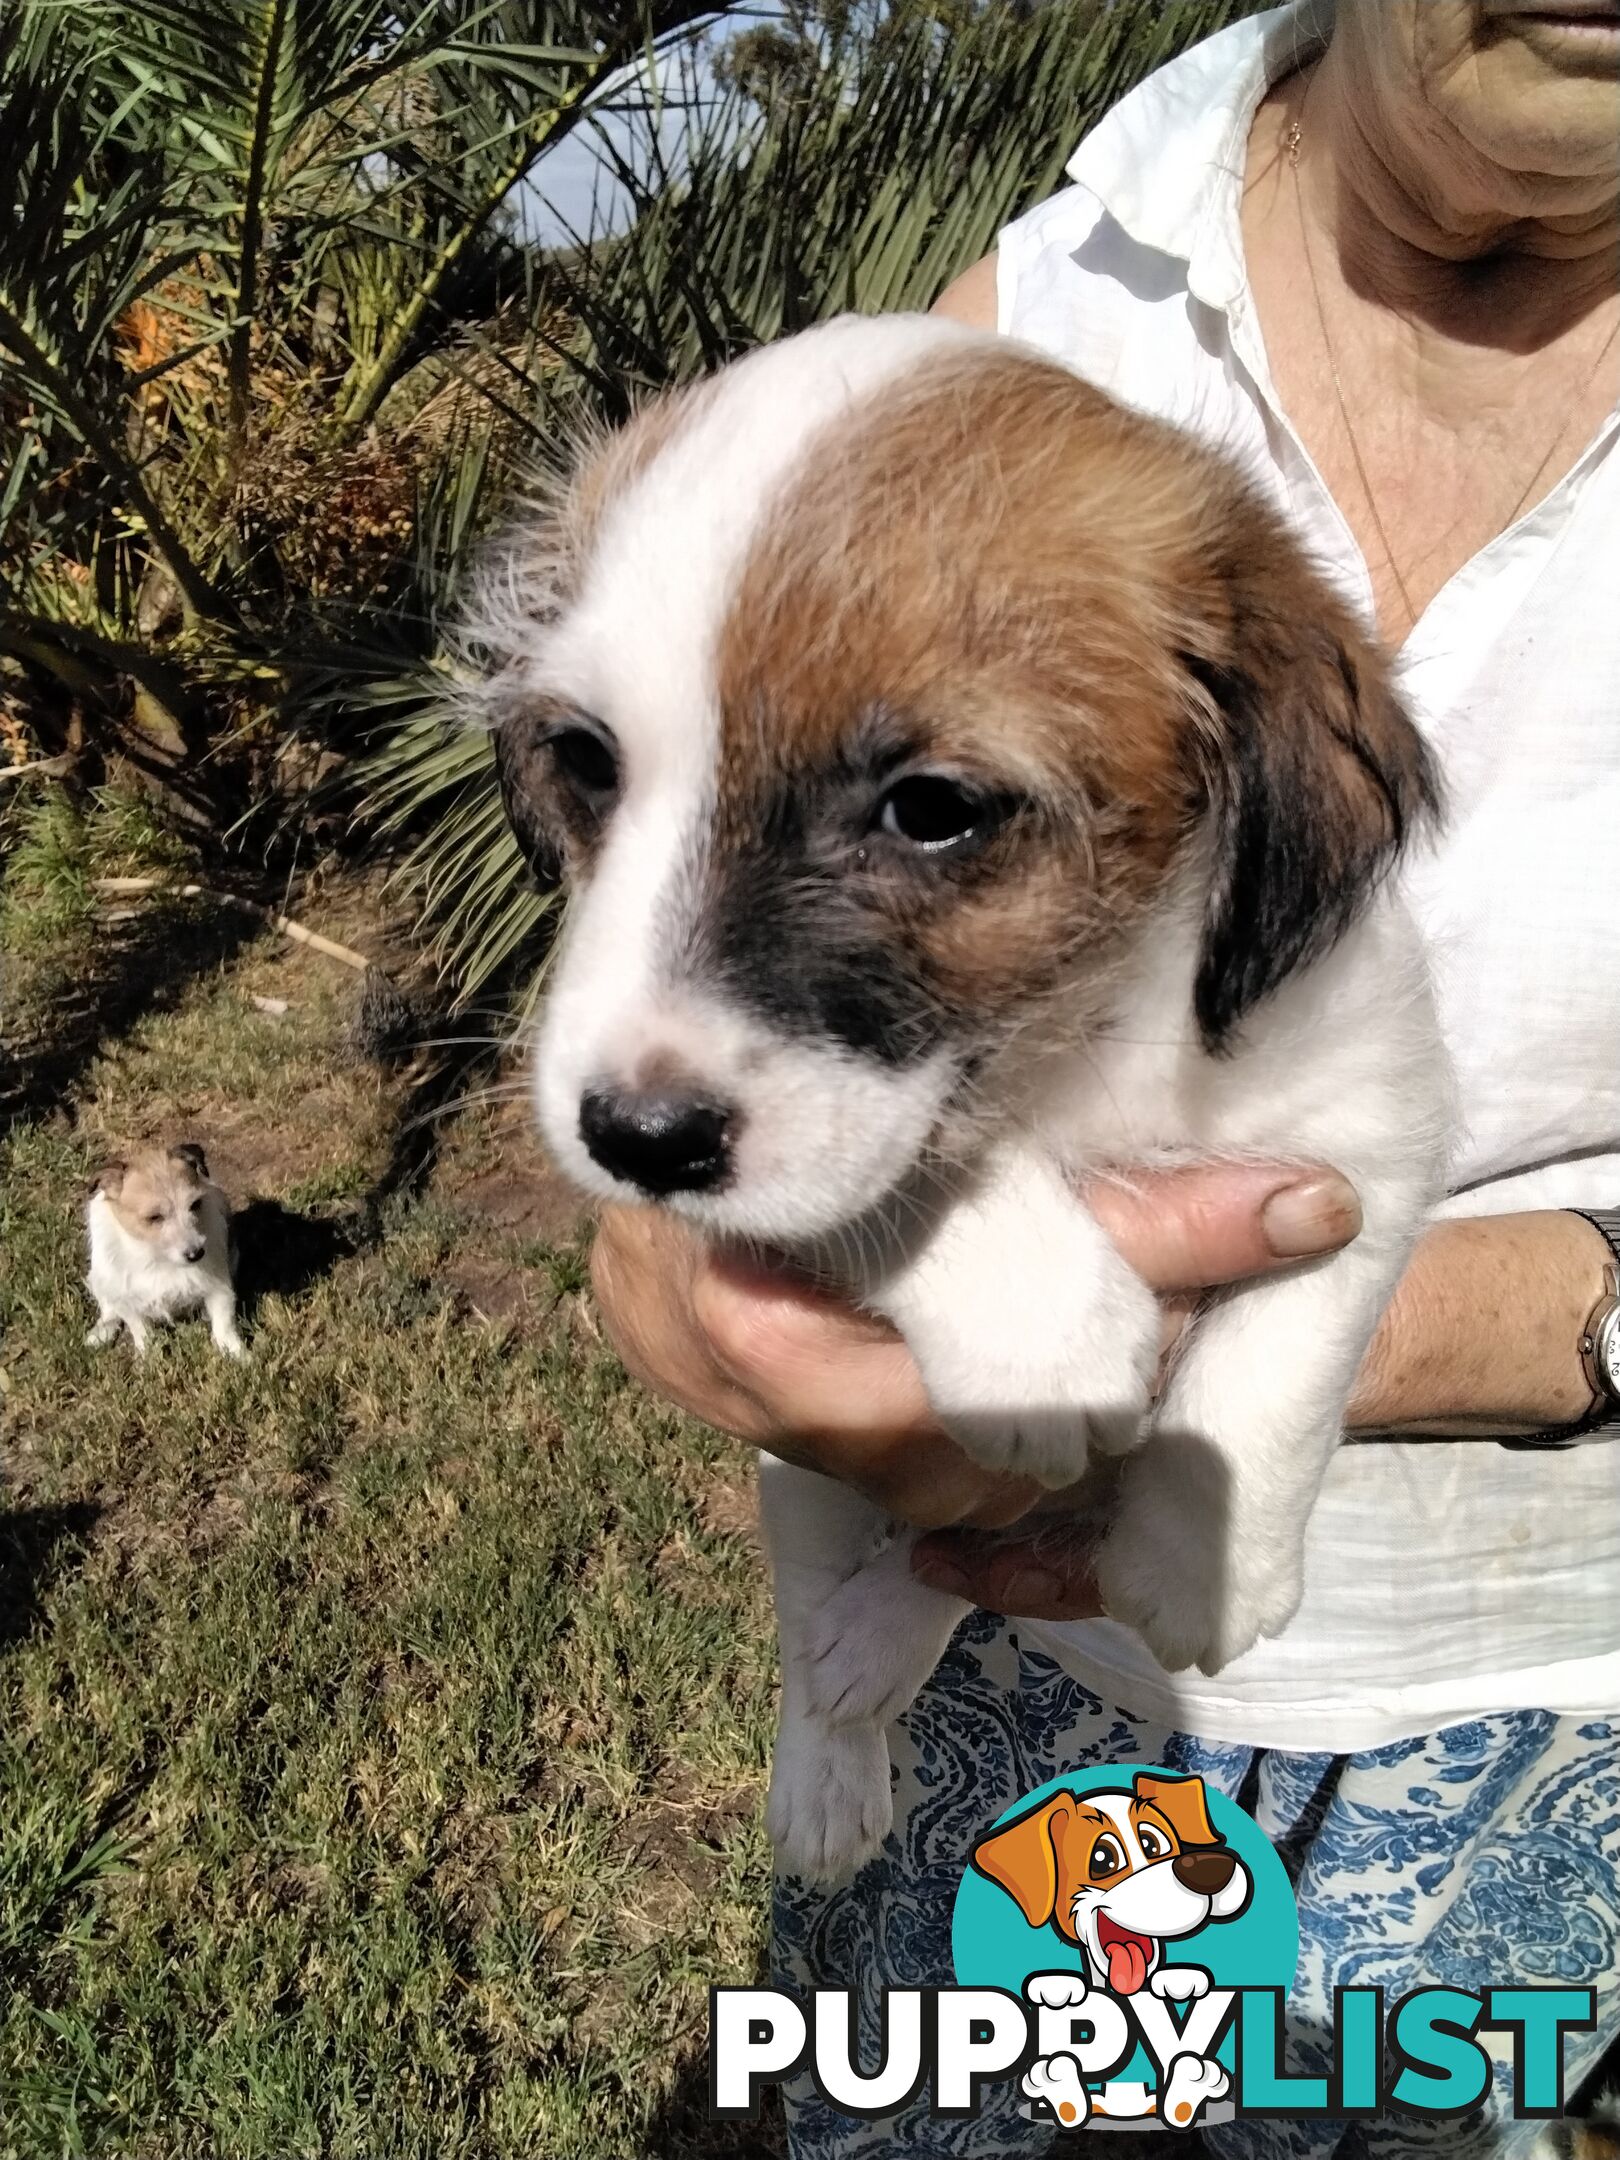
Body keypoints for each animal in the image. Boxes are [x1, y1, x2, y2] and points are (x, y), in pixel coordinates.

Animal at [84, 1140, 244, 1356]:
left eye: (195, 1204)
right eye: (154, 1217)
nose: (196, 1254)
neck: (156, 1257)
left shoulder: (218, 1286)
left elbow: (224, 1324)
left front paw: (237, 1354)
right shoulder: (127, 1301)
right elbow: (140, 1329)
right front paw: (149, 1356)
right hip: (100, 1278)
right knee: (109, 1308)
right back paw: (102, 1331)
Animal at [475, 313, 1451, 1883]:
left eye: (932, 808)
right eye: (585, 760)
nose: (631, 1141)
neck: (1078, 1044)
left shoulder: (1376, 1135)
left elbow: (1283, 1357)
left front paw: (1207, 1554)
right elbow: (899, 1174)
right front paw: (1040, 1321)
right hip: (801, 1477)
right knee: (850, 1602)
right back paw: (835, 1741)